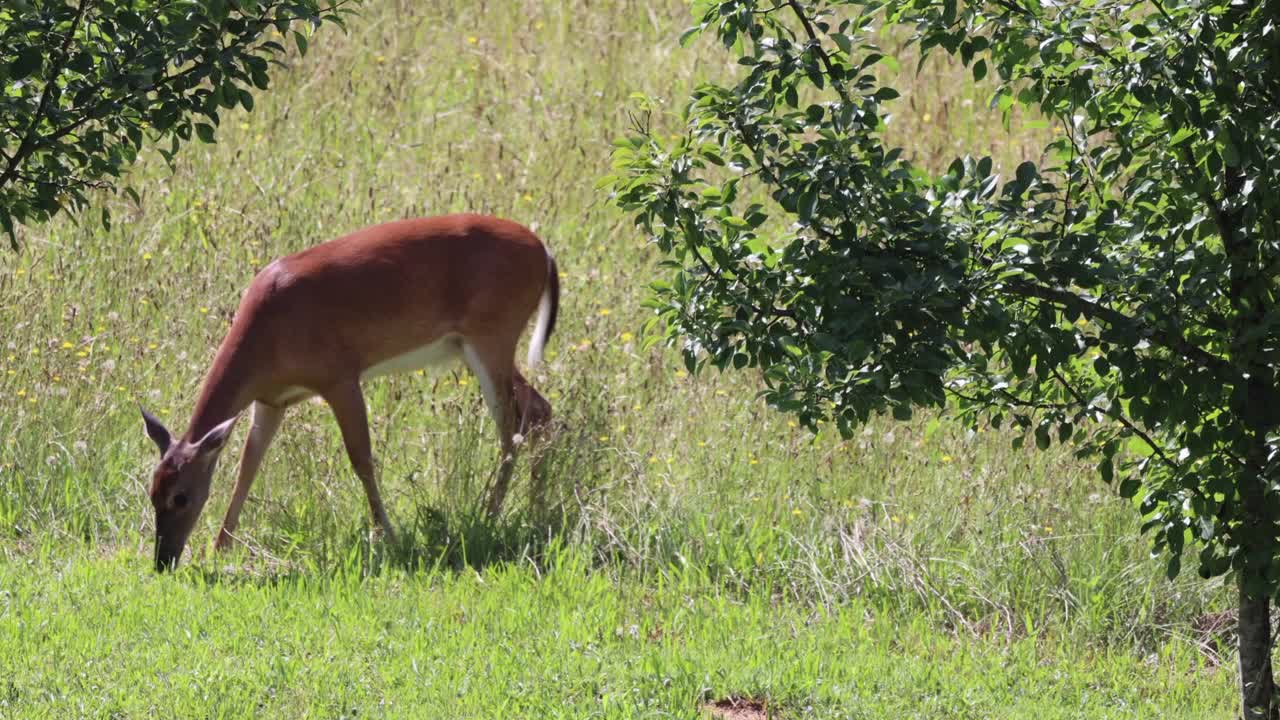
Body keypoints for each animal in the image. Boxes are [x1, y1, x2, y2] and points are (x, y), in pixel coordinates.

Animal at [141, 210, 560, 568]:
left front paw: (389, 537)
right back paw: (535, 511)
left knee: (512, 428)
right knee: (539, 411)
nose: (163, 561)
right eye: (152, 491)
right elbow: (249, 464)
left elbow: (361, 458)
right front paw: (219, 547)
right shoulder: (271, 399)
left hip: (491, 334)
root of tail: (544, 251)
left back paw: (491, 515)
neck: (267, 332)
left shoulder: (339, 375)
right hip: (477, 346)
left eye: (181, 497)